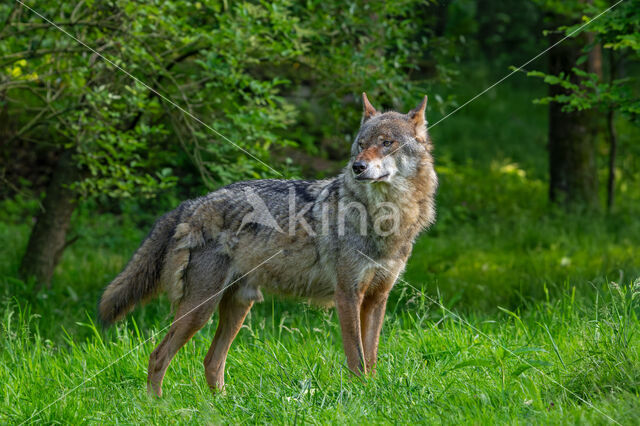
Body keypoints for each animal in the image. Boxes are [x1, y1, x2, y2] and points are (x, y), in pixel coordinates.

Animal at [97, 93, 438, 396]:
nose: (357, 166)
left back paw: (222, 406)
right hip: (200, 309)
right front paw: (359, 394)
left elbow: (371, 358)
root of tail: (192, 203)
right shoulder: (347, 295)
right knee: (158, 355)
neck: (386, 219)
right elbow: (356, 358)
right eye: (361, 145)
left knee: (211, 360)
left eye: (386, 143)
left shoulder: (377, 298)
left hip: (237, 307)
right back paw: (156, 407)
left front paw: (371, 390)